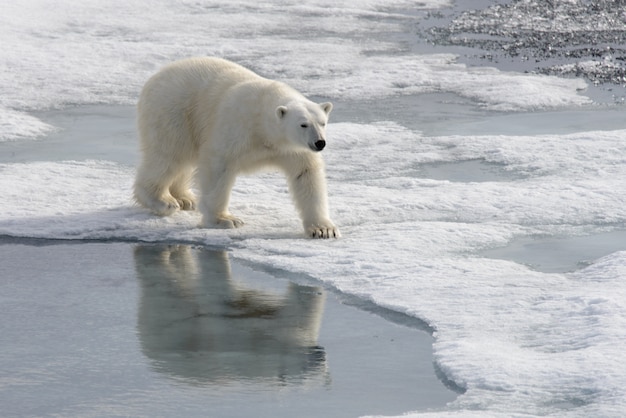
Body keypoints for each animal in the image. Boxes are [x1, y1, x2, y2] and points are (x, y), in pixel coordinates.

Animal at [134, 57, 338, 238]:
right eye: (303, 124)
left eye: (322, 122)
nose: (320, 143)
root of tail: (154, 77)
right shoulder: (237, 126)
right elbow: (218, 166)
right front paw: (225, 220)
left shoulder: (292, 149)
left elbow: (306, 174)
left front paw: (323, 229)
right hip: (174, 111)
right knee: (169, 155)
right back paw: (163, 201)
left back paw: (185, 198)